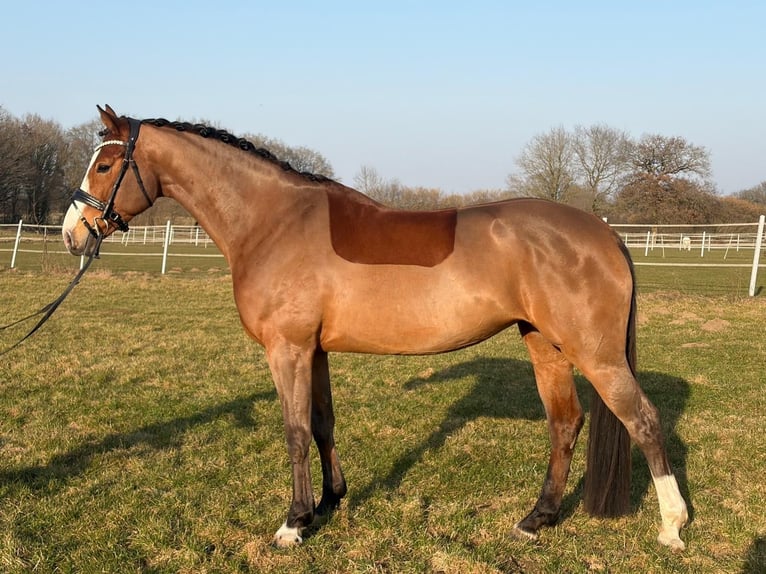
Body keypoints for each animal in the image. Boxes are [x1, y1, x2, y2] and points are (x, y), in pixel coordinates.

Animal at [61, 105, 688, 550]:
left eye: (106, 165)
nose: (73, 233)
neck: (272, 221)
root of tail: (604, 234)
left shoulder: (287, 349)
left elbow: (293, 432)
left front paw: (293, 524)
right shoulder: (313, 351)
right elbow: (321, 425)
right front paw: (329, 504)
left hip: (595, 354)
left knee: (644, 421)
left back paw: (672, 527)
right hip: (546, 346)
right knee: (565, 423)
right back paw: (536, 520)